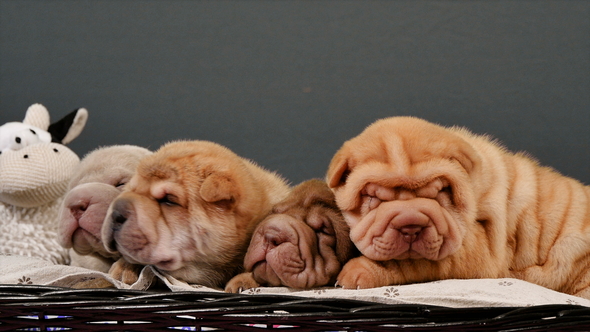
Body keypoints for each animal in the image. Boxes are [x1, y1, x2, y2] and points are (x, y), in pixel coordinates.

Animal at [326, 116, 590, 298]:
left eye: (439, 192)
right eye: (374, 197)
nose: (410, 226)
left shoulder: (483, 251)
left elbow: (416, 261)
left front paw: (359, 271)